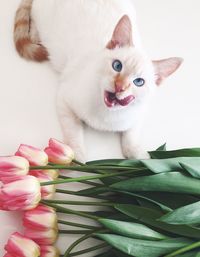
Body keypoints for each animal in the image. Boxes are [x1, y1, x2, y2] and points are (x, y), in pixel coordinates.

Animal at [13, 0, 183, 160]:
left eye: (139, 82)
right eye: (117, 65)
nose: (120, 86)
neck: (106, 116)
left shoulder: (138, 114)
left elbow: (131, 135)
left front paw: (139, 156)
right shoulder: (64, 100)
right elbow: (73, 132)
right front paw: (75, 156)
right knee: (34, 20)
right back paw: (36, 38)